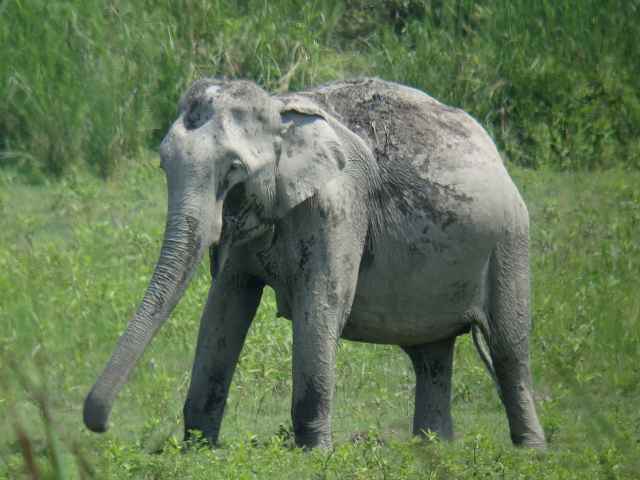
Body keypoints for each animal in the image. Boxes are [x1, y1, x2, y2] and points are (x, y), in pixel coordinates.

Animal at [82, 76, 548, 450]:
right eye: (163, 165)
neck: (279, 108)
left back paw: (530, 449)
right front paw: (198, 448)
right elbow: (224, 308)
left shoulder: (338, 203)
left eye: (233, 170)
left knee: (508, 345)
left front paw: (314, 452)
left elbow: (322, 304)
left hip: (510, 240)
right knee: (430, 355)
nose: (99, 425)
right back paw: (432, 446)